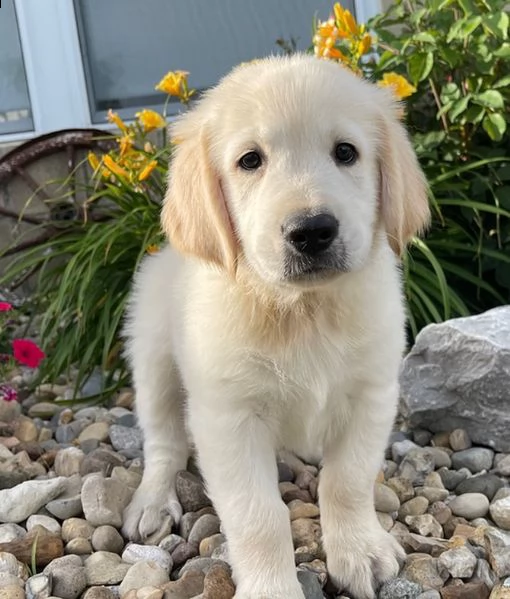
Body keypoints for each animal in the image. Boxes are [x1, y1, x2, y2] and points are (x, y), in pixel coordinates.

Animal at [123, 54, 430, 596]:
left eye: (346, 152)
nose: (312, 231)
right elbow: (258, 515)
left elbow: (348, 480)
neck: (302, 311)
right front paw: (272, 585)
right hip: (153, 358)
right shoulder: (229, 418)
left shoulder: (371, 394)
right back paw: (153, 502)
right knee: (163, 442)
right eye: (250, 160)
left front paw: (361, 550)